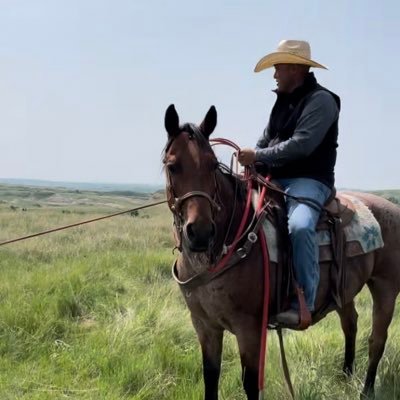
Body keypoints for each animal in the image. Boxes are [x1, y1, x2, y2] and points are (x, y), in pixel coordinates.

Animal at [162, 104, 400, 398]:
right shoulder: (204, 326)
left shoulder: (249, 329)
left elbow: (251, 383)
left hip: (386, 287)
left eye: (211, 165)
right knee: (351, 324)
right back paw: (345, 376)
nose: (201, 232)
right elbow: (210, 377)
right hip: (344, 289)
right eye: (172, 166)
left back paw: (365, 390)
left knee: (377, 339)